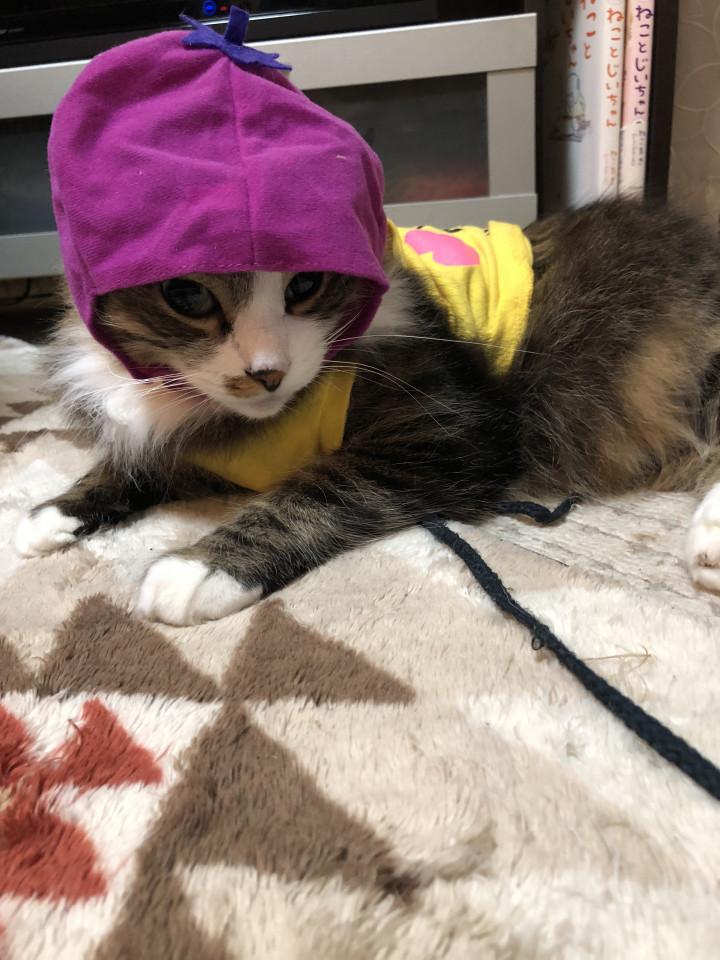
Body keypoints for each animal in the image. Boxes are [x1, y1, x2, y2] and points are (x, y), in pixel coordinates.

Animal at [15, 199, 720, 624]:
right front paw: (52, 516)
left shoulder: (449, 429)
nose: (266, 372)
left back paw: (709, 543)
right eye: (186, 295)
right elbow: (123, 465)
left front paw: (201, 566)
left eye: (306, 284)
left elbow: (317, 491)